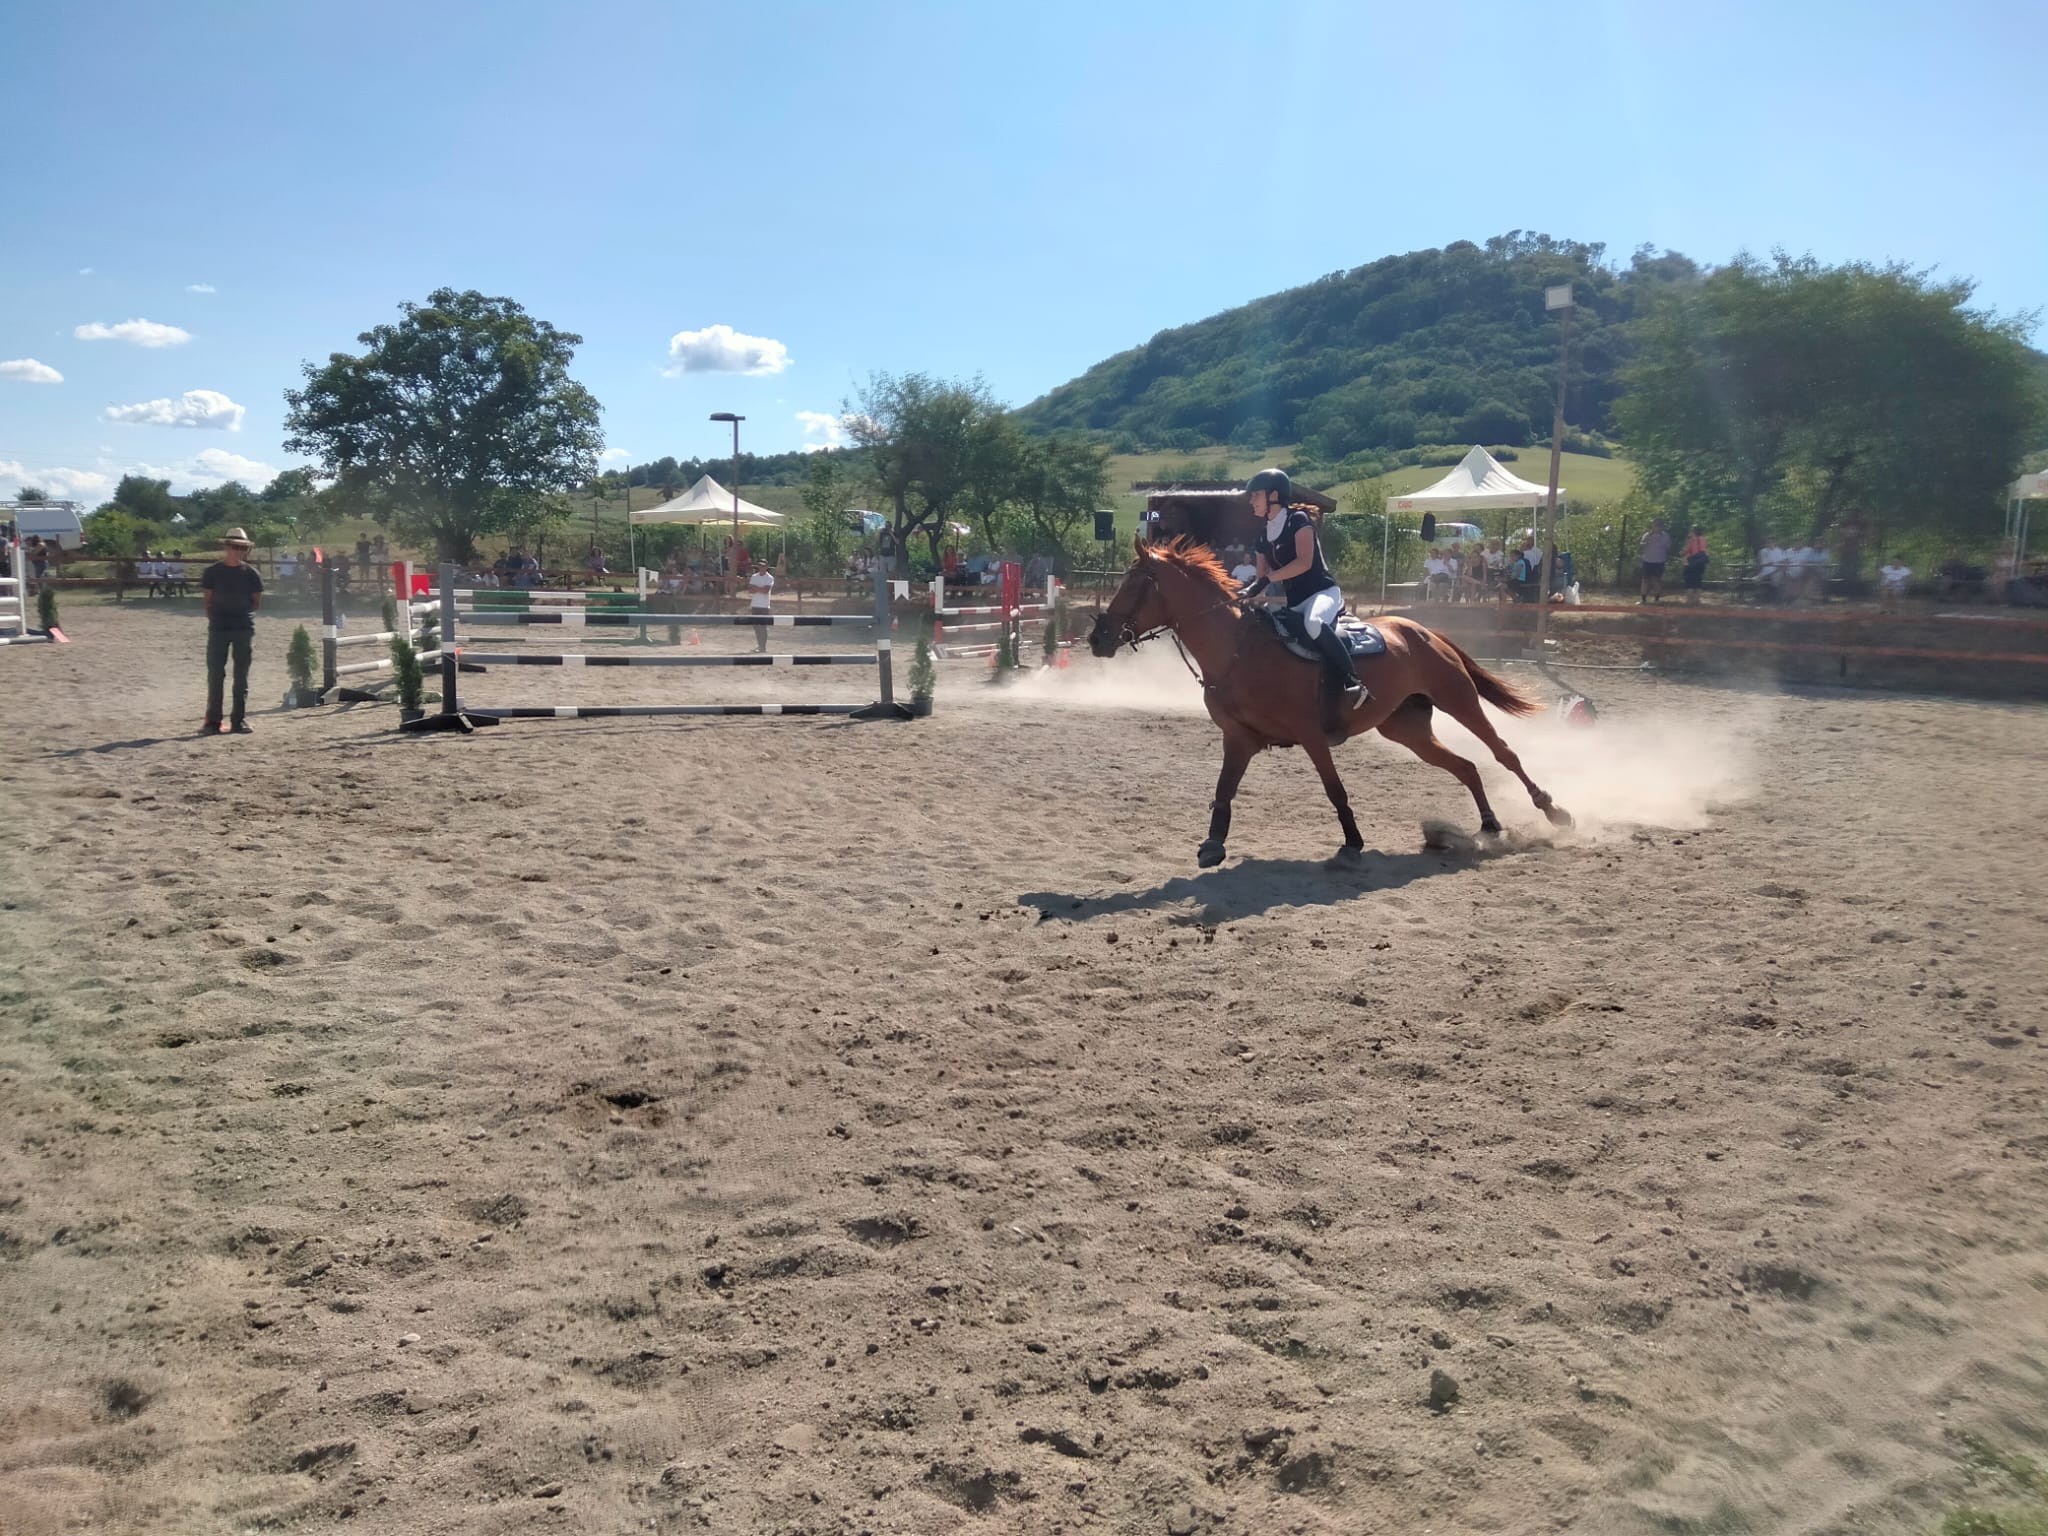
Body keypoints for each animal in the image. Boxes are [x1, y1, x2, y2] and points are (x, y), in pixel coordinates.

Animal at [1089, 544, 1564, 872]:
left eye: (1134, 585)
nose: (1098, 639)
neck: (1238, 651)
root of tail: (1423, 630)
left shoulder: (1311, 736)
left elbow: (1336, 791)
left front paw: (1352, 843)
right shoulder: (1239, 738)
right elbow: (1223, 791)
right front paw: (1213, 845)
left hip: (1459, 700)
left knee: (1503, 753)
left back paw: (1553, 810)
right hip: (1406, 729)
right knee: (1466, 767)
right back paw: (1489, 825)